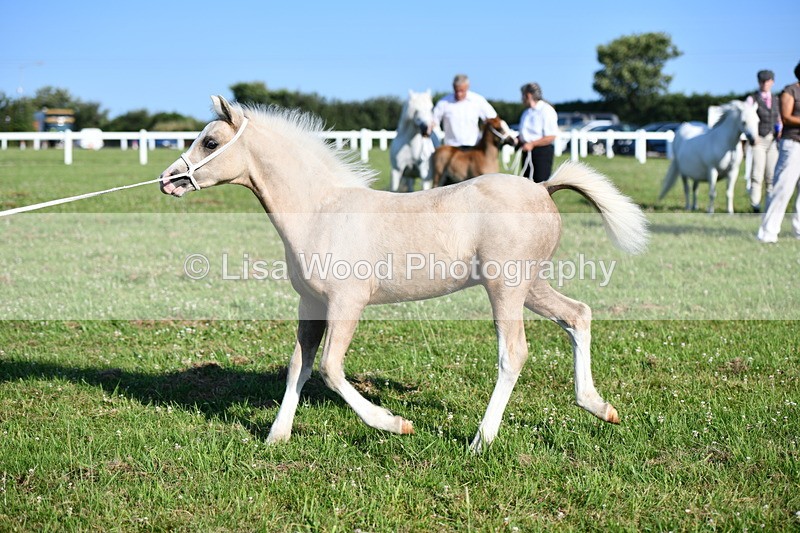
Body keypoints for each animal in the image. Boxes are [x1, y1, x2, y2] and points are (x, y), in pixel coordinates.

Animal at [159, 96, 649, 453]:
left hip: (506, 288)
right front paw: (275, 437)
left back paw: (480, 440)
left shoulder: (347, 303)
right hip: (530, 284)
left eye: (210, 142)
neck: (322, 210)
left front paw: (395, 424)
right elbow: (299, 366)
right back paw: (598, 407)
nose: (168, 180)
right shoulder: (311, 304)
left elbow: (331, 369)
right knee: (577, 315)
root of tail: (543, 188)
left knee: (514, 353)